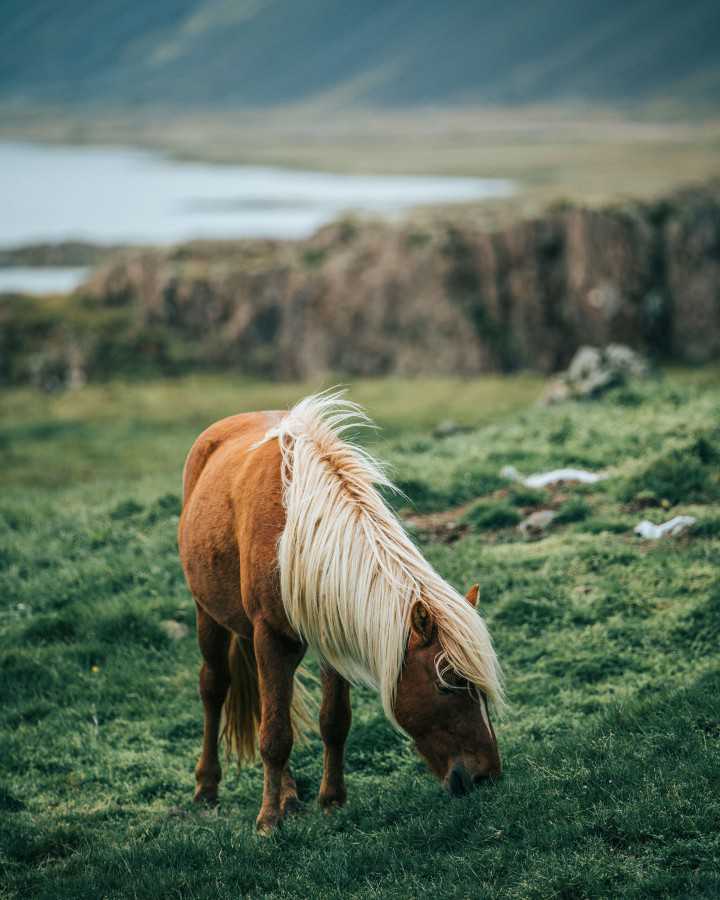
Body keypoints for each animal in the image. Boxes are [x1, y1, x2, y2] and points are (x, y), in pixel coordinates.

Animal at [178, 390, 504, 832]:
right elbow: (274, 735)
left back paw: (289, 794)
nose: (487, 777)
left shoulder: (332, 634)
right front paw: (268, 822)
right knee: (214, 689)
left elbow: (333, 721)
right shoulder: (270, 637)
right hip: (208, 616)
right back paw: (207, 788)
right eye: (448, 684)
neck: (298, 530)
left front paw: (331, 800)